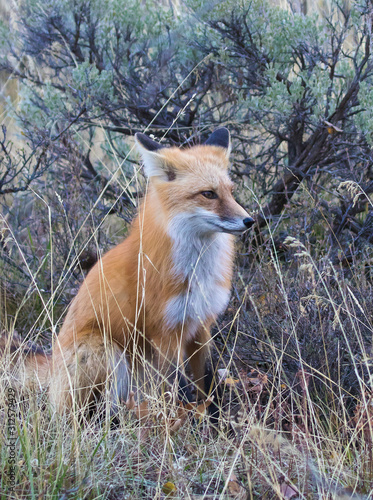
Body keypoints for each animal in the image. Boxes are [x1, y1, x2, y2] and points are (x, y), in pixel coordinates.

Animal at [2, 128, 253, 418]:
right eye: (208, 194)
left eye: (231, 192)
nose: (250, 221)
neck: (197, 271)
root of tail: (53, 366)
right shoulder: (165, 334)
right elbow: (177, 388)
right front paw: (182, 422)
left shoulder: (202, 324)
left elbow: (208, 383)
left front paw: (214, 419)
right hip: (107, 350)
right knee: (93, 410)